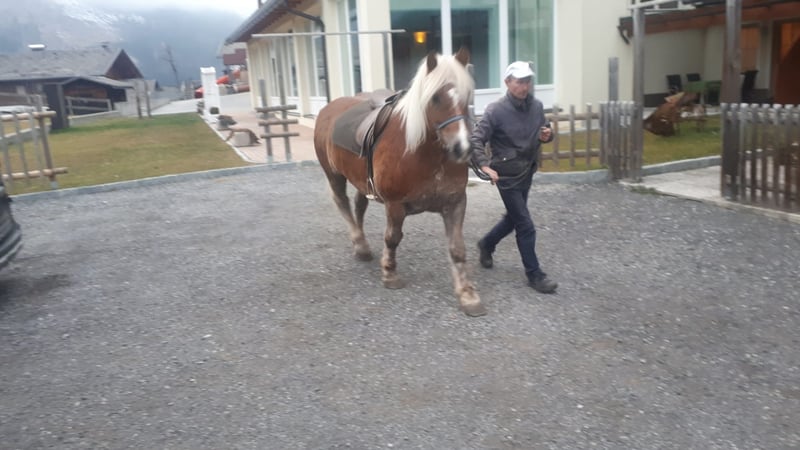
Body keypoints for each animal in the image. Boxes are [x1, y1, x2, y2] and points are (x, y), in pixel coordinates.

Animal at [313, 48, 485, 317]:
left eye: (467, 95)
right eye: (435, 98)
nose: (462, 148)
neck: (422, 153)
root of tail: (328, 108)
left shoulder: (455, 203)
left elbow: (457, 248)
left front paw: (467, 295)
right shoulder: (395, 205)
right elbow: (392, 238)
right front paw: (390, 274)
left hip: (361, 180)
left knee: (359, 205)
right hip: (334, 175)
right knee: (343, 203)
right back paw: (360, 245)